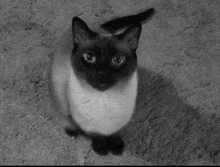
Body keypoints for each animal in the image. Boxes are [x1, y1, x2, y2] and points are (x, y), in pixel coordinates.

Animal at [49, 7, 156, 155]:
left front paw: (116, 146)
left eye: (117, 60)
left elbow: (114, 133)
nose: (101, 74)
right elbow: (96, 134)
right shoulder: (86, 123)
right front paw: (100, 148)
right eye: (89, 57)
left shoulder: (118, 122)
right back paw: (72, 132)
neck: (104, 98)